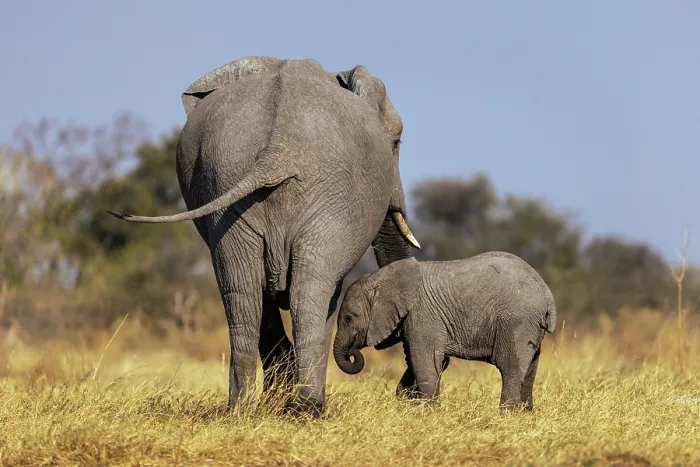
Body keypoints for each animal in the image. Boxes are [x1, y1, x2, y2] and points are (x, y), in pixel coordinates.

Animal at [107, 56, 421, 417]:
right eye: (396, 143)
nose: (407, 391)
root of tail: (276, 150)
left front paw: (275, 398)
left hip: (226, 187)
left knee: (240, 291)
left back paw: (242, 410)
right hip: (322, 197)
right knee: (309, 290)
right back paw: (307, 409)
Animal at [332, 251, 557, 411]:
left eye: (348, 318)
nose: (352, 353)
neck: (382, 277)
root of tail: (547, 296)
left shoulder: (422, 314)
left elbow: (425, 362)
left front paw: (430, 413)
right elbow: (420, 362)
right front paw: (408, 404)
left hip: (517, 323)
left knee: (510, 370)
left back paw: (506, 417)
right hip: (531, 327)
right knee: (529, 372)